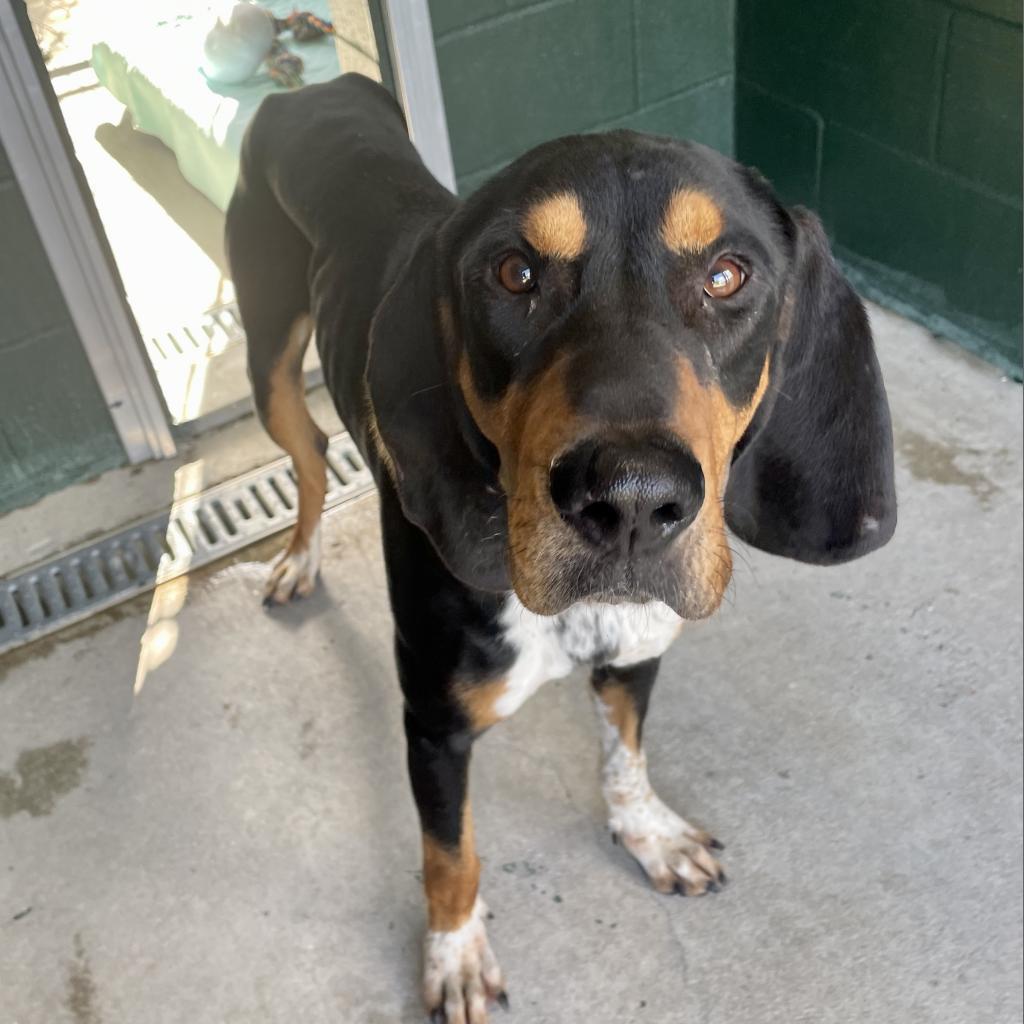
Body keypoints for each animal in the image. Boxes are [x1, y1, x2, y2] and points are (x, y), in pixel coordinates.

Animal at [226, 74, 897, 1024]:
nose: (631, 499)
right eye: (516, 273)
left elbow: (625, 758)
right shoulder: (434, 725)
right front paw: (455, 955)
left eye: (728, 274)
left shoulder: (637, 654)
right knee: (311, 455)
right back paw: (298, 558)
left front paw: (648, 834)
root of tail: (307, 86)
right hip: (268, 364)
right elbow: (449, 855)